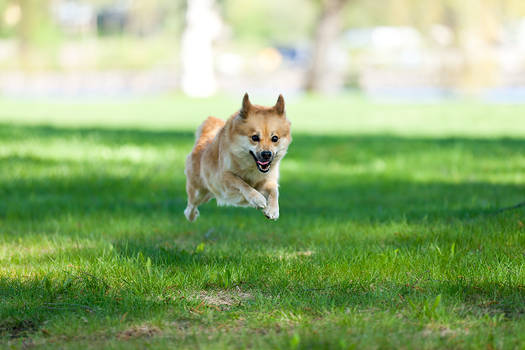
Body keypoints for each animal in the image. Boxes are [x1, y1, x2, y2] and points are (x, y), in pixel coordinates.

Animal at [183, 91, 290, 220]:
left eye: (275, 138)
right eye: (255, 137)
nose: (266, 154)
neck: (252, 168)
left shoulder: (268, 180)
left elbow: (274, 190)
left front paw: (273, 210)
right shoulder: (223, 176)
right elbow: (241, 182)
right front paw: (257, 199)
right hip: (199, 191)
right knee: (190, 206)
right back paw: (191, 215)